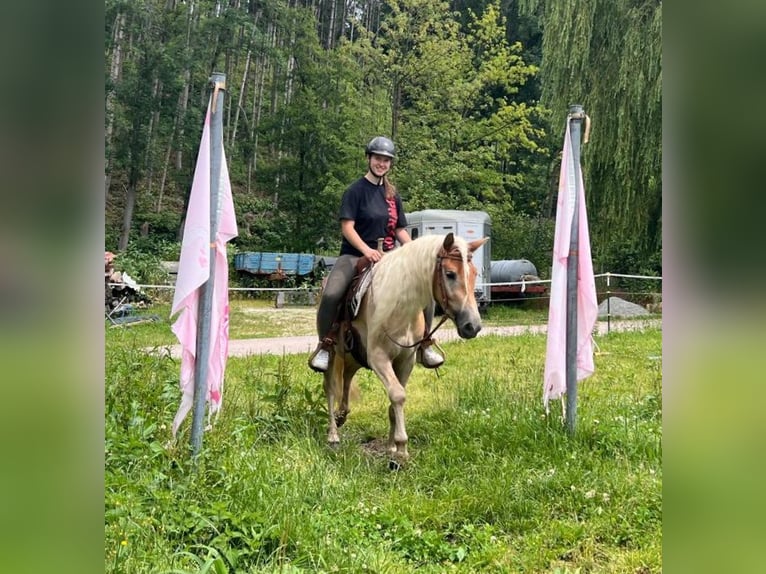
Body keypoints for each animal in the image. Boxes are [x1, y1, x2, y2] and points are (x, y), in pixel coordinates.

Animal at [322, 234, 488, 464]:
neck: (398, 307)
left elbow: (394, 401)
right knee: (330, 387)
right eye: (450, 274)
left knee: (346, 377)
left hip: (353, 356)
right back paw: (333, 435)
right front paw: (401, 449)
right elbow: (398, 395)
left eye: (474, 274)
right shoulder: (378, 358)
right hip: (333, 352)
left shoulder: (406, 360)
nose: (473, 326)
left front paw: (391, 447)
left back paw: (342, 415)